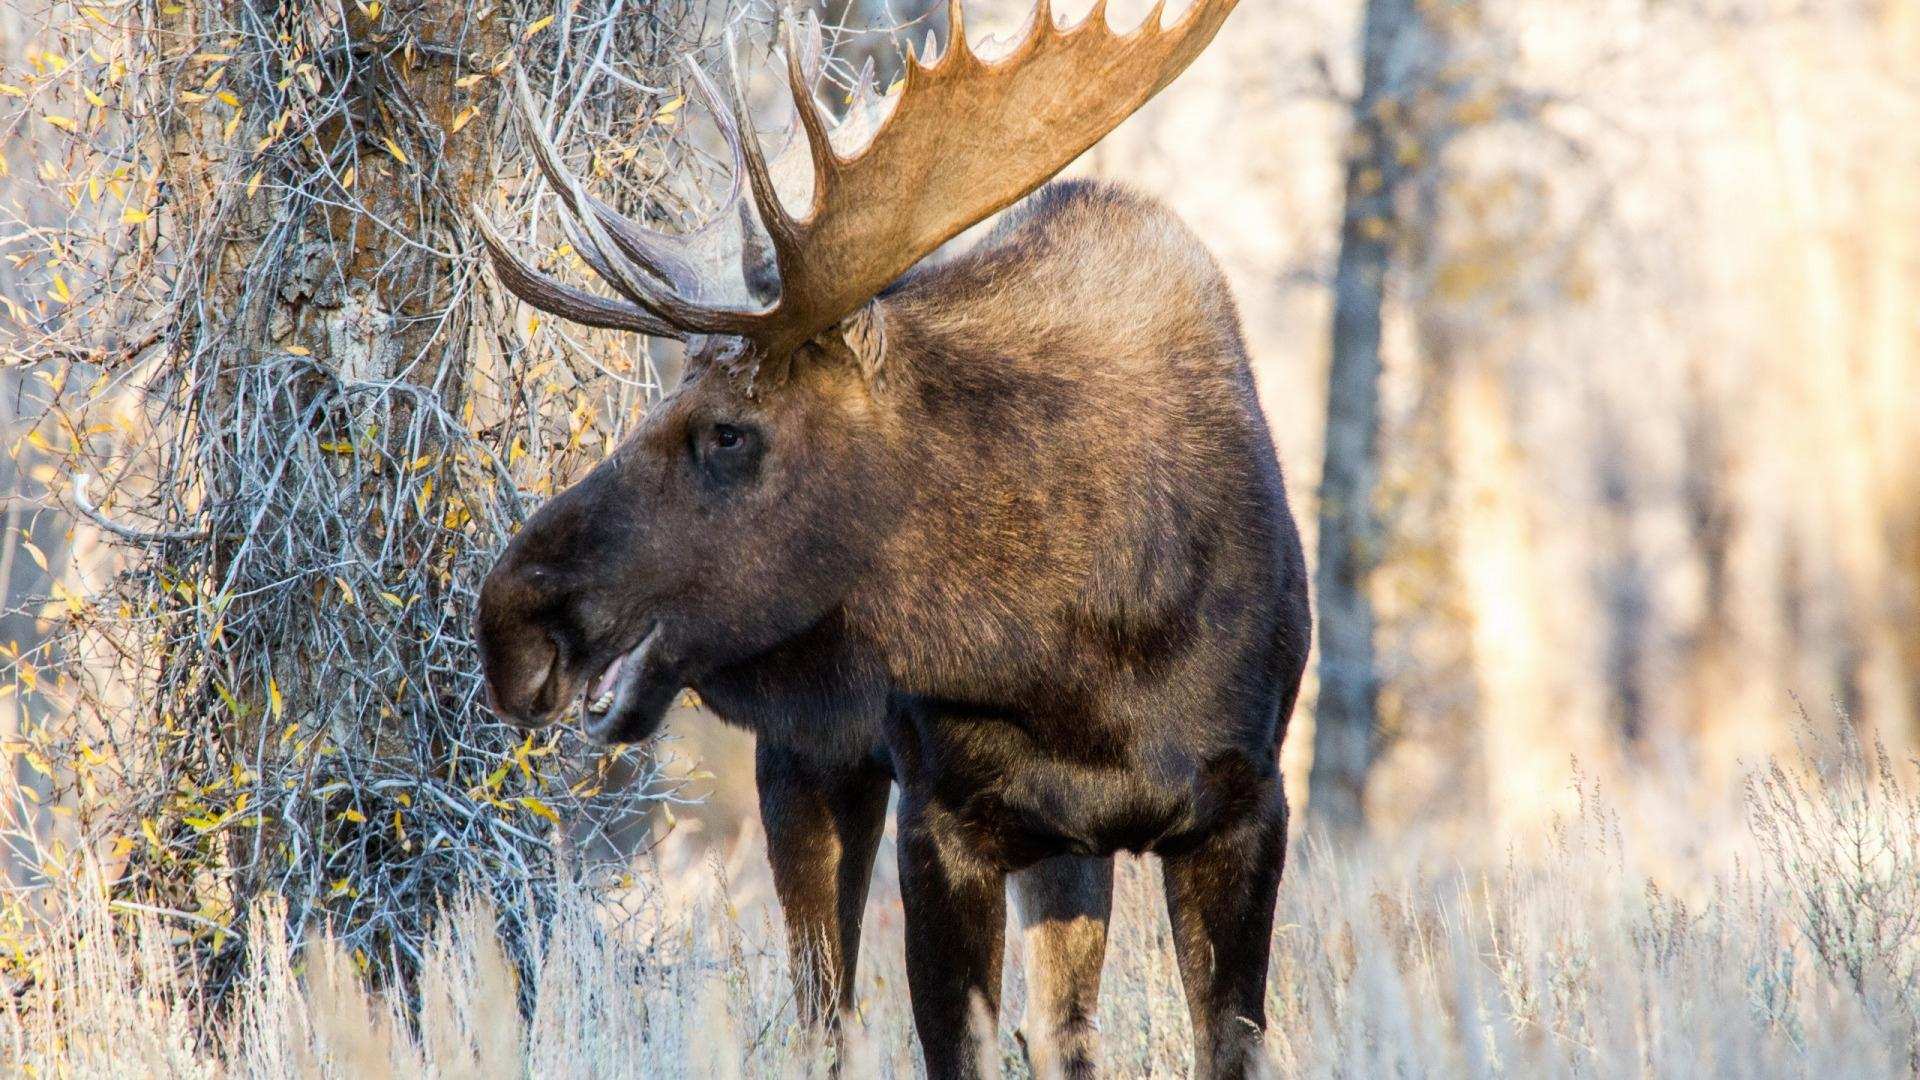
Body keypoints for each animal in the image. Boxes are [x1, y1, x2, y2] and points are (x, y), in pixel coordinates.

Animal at [474, 2, 1313, 1068]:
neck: (1086, 661)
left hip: (1057, 845)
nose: (511, 620)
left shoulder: (1246, 805)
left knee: (1056, 1028)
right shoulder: (943, 813)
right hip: (814, 763)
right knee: (820, 1015)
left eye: (727, 431)